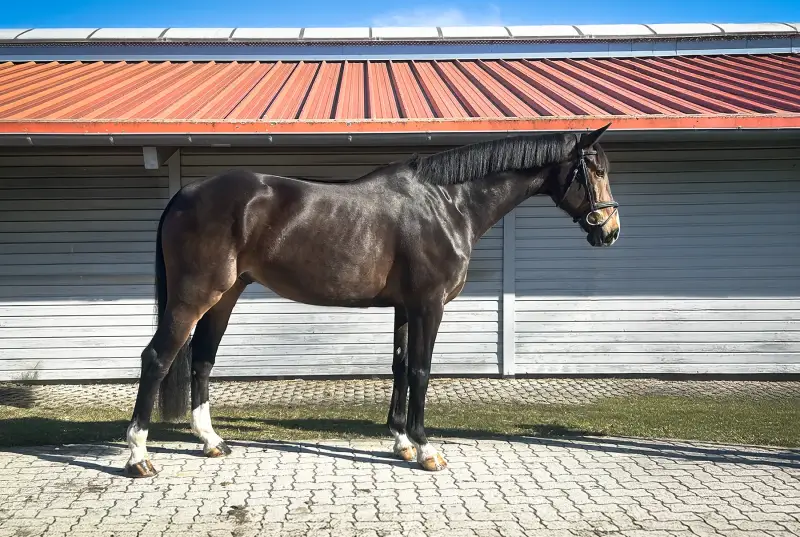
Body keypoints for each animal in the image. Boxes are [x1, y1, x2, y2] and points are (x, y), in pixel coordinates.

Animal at [123, 124, 621, 478]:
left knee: (202, 360)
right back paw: (139, 457)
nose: (610, 231)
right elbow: (420, 371)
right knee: (158, 358)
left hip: (224, 296)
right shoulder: (429, 305)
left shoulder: (404, 307)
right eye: (595, 170)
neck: (447, 204)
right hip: (194, 296)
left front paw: (401, 443)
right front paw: (426, 449)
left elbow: (399, 367)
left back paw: (211, 441)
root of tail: (186, 193)